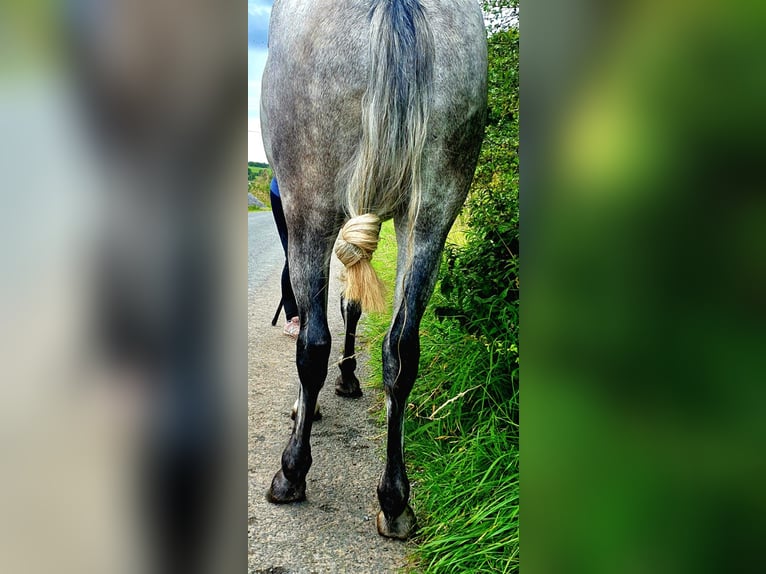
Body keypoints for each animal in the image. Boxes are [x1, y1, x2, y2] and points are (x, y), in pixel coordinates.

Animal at [258, 0, 486, 540]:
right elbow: (354, 305)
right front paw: (349, 380)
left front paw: (310, 405)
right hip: (434, 211)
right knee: (402, 350)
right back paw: (396, 501)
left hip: (310, 203)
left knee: (313, 344)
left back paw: (291, 473)